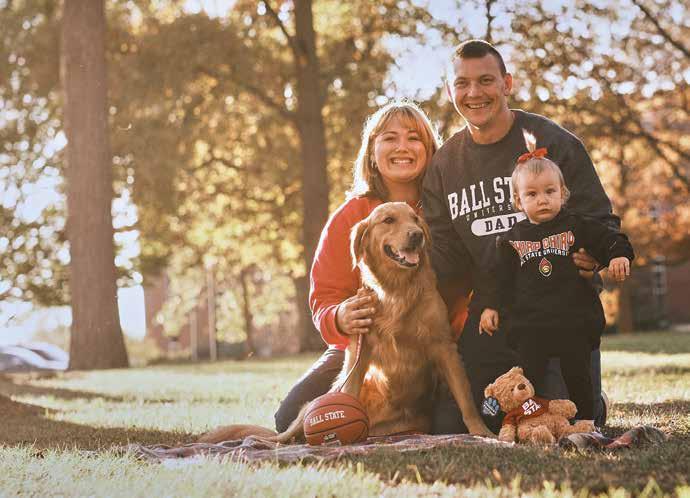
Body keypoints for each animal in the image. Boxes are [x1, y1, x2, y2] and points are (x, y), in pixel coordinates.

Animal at [199, 202, 493, 443]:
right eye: (389, 220)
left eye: (415, 220)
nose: (417, 235)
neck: (396, 289)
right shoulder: (360, 351)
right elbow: (349, 392)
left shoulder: (444, 347)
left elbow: (465, 398)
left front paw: (482, 433)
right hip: (312, 404)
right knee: (285, 435)